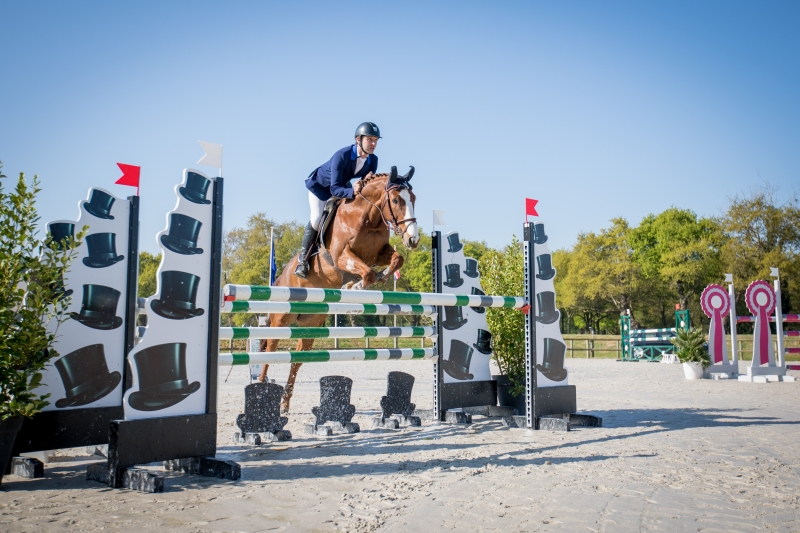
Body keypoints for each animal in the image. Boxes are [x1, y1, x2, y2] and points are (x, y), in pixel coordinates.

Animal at [258, 166, 422, 412]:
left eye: (413, 198)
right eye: (395, 200)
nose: (413, 239)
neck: (369, 218)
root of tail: (280, 278)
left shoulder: (378, 253)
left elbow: (396, 260)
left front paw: (375, 279)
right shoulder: (342, 256)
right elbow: (367, 273)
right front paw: (355, 284)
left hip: (310, 326)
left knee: (296, 360)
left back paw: (284, 404)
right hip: (280, 321)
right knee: (269, 353)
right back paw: (260, 392)